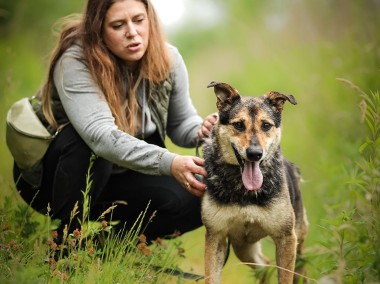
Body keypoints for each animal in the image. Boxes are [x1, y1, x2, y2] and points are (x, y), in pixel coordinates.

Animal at [200, 81, 308, 282]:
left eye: (266, 125)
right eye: (238, 125)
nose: (255, 154)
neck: (245, 192)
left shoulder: (286, 238)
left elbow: (285, 278)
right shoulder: (215, 236)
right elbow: (211, 277)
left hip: (297, 243)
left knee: (300, 271)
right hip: (243, 247)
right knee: (264, 265)